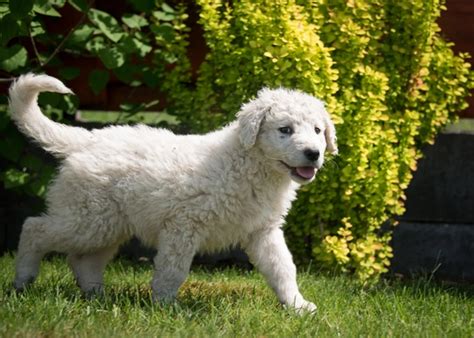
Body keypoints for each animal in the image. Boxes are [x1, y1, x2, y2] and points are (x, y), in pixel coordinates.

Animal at [8, 74, 336, 314]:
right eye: (285, 129)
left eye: (318, 130)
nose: (313, 154)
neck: (249, 164)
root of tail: (87, 139)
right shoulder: (183, 225)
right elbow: (173, 269)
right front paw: (166, 307)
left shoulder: (263, 230)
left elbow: (283, 267)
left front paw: (297, 305)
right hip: (87, 218)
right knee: (34, 228)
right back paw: (22, 280)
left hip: (107, 223)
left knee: (83, 259)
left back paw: (96, 295)